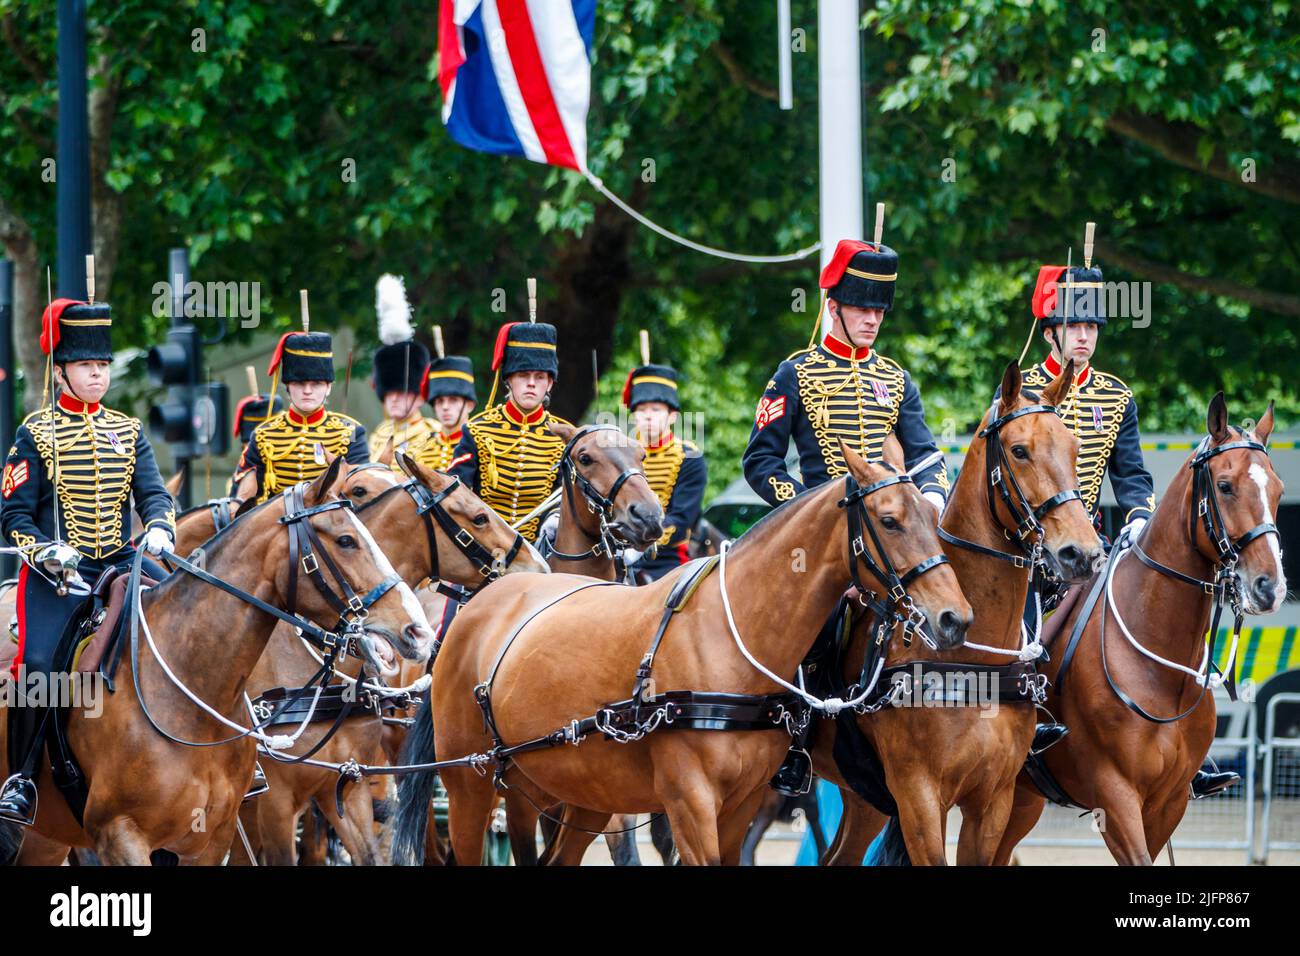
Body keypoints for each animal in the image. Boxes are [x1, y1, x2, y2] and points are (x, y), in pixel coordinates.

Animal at [395, 442, 977, 868]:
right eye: (889, 520)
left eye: (932, 516)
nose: (954, 617)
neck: (730, 636)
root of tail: (481, 602)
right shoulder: (689, 803)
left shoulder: (743, 804)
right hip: (470, 788)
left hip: (569, 789)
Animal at [811, 361, 1107, 868]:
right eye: (1019, 450)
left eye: (1073, 449)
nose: (1082, 554)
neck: (973, 657)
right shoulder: (919, 799)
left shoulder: (992, 802)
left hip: (864, 797)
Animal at [987, 392, 1284, 863]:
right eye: (1225, 486)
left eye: (1277, 490)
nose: (1270, 586)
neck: (1159, 671)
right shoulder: (1114, 795)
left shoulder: (1170, 801)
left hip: (1020, 798)